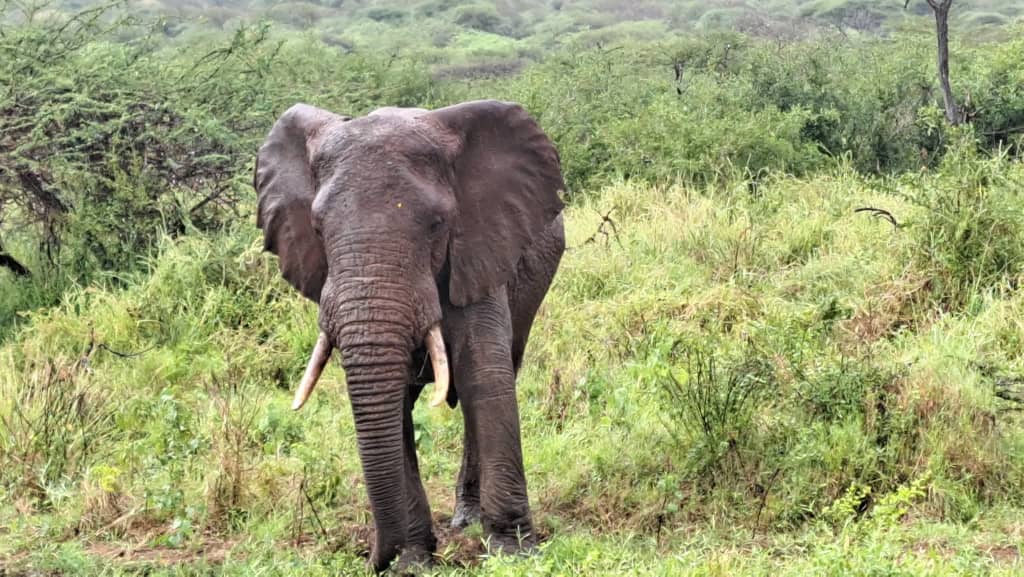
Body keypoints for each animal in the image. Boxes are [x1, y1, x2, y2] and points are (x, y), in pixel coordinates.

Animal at [253, 99, 566, 571]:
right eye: (318, 229)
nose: (374, 560)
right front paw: (414, 562)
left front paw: (513, 553)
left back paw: (468, 520)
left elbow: (485, 379)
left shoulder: (478, 251)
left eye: (437, 224)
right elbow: (391, 401)